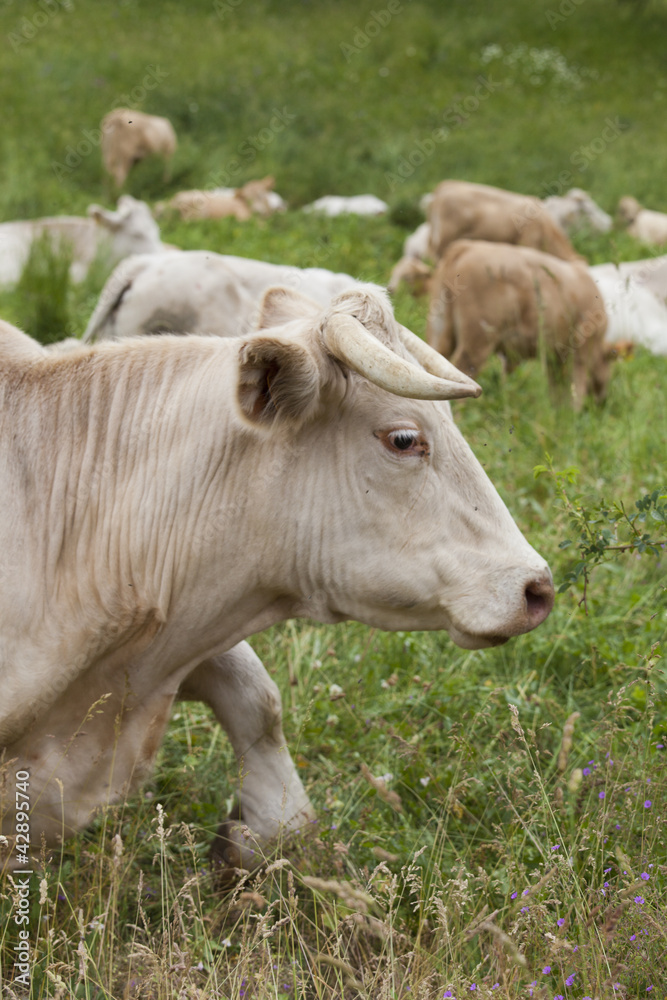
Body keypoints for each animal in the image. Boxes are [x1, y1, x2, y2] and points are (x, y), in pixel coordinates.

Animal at [428, 240, 612, 408]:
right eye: (609, 364)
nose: (603, 402)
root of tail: (466, 246)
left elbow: (557, 388)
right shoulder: (581, 349)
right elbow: (576, 386)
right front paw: (574, 413)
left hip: (441, 328)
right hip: (477, 340)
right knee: (464, 372)